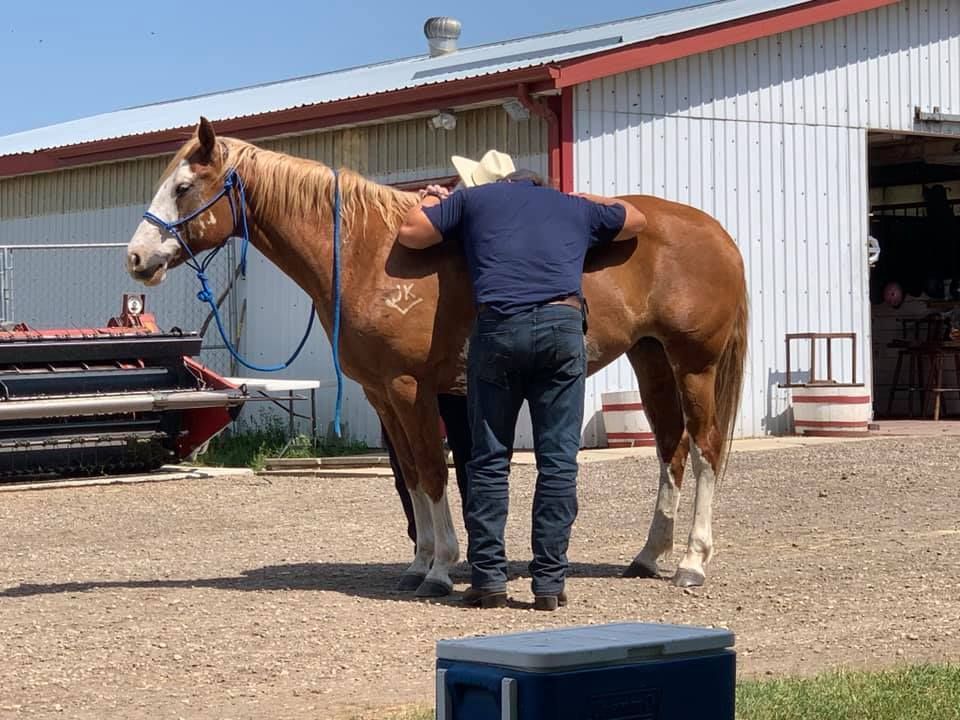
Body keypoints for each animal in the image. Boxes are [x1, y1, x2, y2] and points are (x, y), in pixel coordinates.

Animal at [125, 117, 748, 598]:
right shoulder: (382, 393)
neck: (366, 252)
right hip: (652, 360)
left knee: (706, 449)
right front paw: (420, 562)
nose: (135, 257)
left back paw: (691, 563)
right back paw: (648, 557)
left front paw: (442, 568)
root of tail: (715, 231)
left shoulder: (409, 387)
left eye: (183, 186)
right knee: (670, 448)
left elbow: (429, 469)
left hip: (694, 364)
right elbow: (409, 473)